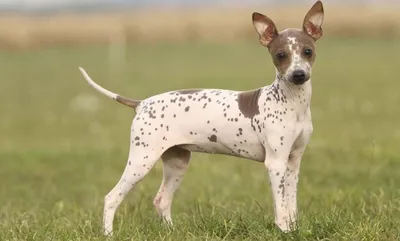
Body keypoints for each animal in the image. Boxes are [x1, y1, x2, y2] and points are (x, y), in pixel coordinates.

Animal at [78, 0, 324, 235]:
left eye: (307, 51)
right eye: (281, 55)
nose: (298, 74)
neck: (291, 102)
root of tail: (142, 104)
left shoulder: (292, 163)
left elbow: (291, 205)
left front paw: (294, 229)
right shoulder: (275, 163)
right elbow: (281, 208)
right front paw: (284, 231)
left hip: (177, 162)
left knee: (161, 200)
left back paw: (172, 231)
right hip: (142, 160)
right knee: (112, 198)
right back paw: (108, 233)